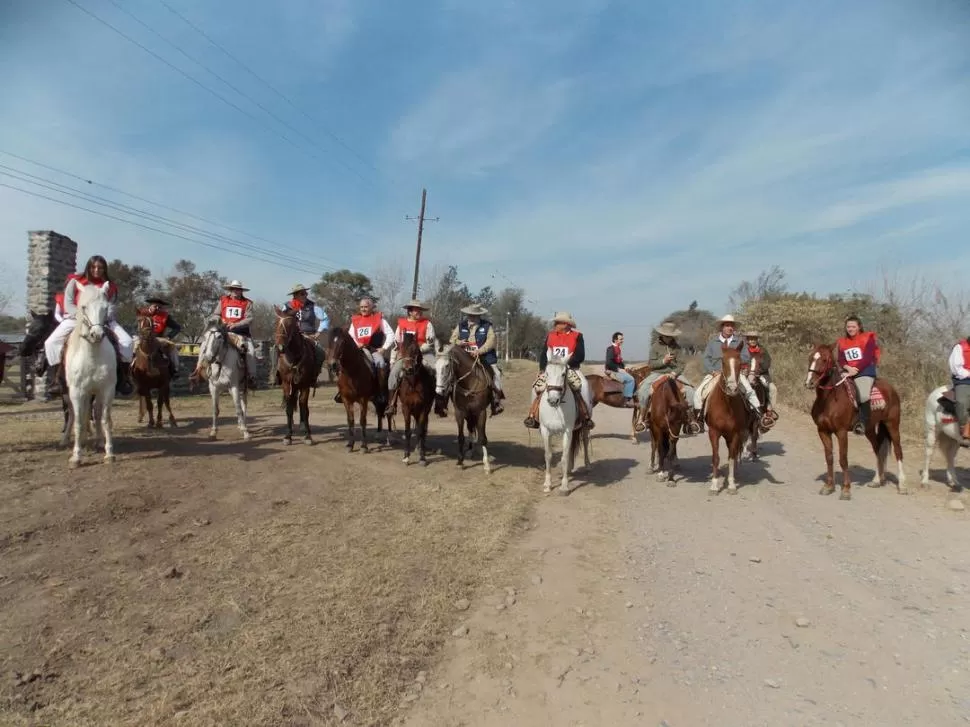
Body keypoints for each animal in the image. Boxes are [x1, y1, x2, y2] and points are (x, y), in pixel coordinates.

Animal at [270, 306, 324, 444]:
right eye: (276, 323)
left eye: (290, 325)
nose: (280, 347)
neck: (294, 357)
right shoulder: (286, 384)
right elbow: (289, 409)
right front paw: (288, 436)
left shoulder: (305, 385)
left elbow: (304, 408)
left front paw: (308, 436)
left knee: (303, 406)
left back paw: (303, 426)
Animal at [396, 332, 436, 464]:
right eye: (401, 349)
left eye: (415, 350)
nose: (408, 369)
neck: (413, 384)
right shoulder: (406, 408)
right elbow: (408, 431)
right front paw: (406, 456)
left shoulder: (423, 408)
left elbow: (420, 431)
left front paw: (422, 457)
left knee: (422, 428)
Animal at [440, 346, 500, 474]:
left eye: (447, 366)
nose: (440, 389)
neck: (470, 382)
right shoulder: (460, 412)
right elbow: (461, 437)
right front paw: (460, 461)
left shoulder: (481, 412)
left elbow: (482, 438)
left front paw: (486, 465)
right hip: (469, 414)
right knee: (471, 430)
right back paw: (470, 450)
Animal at [704, 342, 756, 494]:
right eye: (723, 362)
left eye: (740, 363)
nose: (732, 389)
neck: (726, 405)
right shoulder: (713, 432)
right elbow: (716, 458)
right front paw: (714, 485)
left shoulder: (735, 434)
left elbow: (732, 457)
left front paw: (732, 484)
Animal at [796, 342, 904, 500]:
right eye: (810, 358)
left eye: (825, 360)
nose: (809, 383)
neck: (829, 400)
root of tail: (892, 389)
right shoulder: (823, 431)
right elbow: (829, 457)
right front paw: (828, 487)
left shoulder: (841, 432)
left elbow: (843, 459)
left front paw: (846, 490)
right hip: (869, 429)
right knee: (878, 449)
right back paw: (876, 480)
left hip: (892, 424)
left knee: (898, 451)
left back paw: (902, 486)